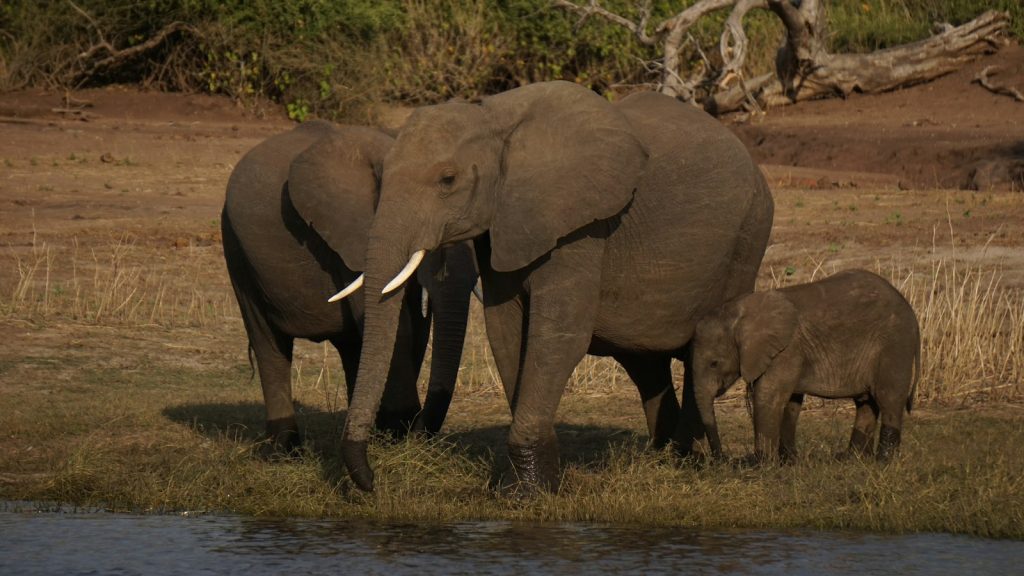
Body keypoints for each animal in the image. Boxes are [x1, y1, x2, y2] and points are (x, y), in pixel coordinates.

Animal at [221, 120, 477, 454]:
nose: (422, 433)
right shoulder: (350, 234)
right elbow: (393, 324)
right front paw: (397, 433)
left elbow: (413, 326)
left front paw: (393, 435)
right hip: (236, 248)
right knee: (268, 344)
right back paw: (284, 451)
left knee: (352, 347)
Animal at [330, 81, 774, 492]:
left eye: (447, 180)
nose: (373, 482)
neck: (494, 119)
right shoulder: (503, 225)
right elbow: (506, 332)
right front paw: (519, 484)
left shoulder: (580, 226)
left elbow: (558, 336)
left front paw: (527, 493)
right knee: (644, 362)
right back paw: (663, 453)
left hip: (749, 234)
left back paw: (684, 457)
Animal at [691, 269, 921, 464]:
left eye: (714, 363)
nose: (721, 459)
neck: (742, 311)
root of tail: (911, 311)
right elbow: (791, 402)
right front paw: (788, 462)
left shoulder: (788, 350)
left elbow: (769, 397)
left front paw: (761, 465)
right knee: (866, 404)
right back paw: (851, 459)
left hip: (895, 345)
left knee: (888, 399)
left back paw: (883, 462)